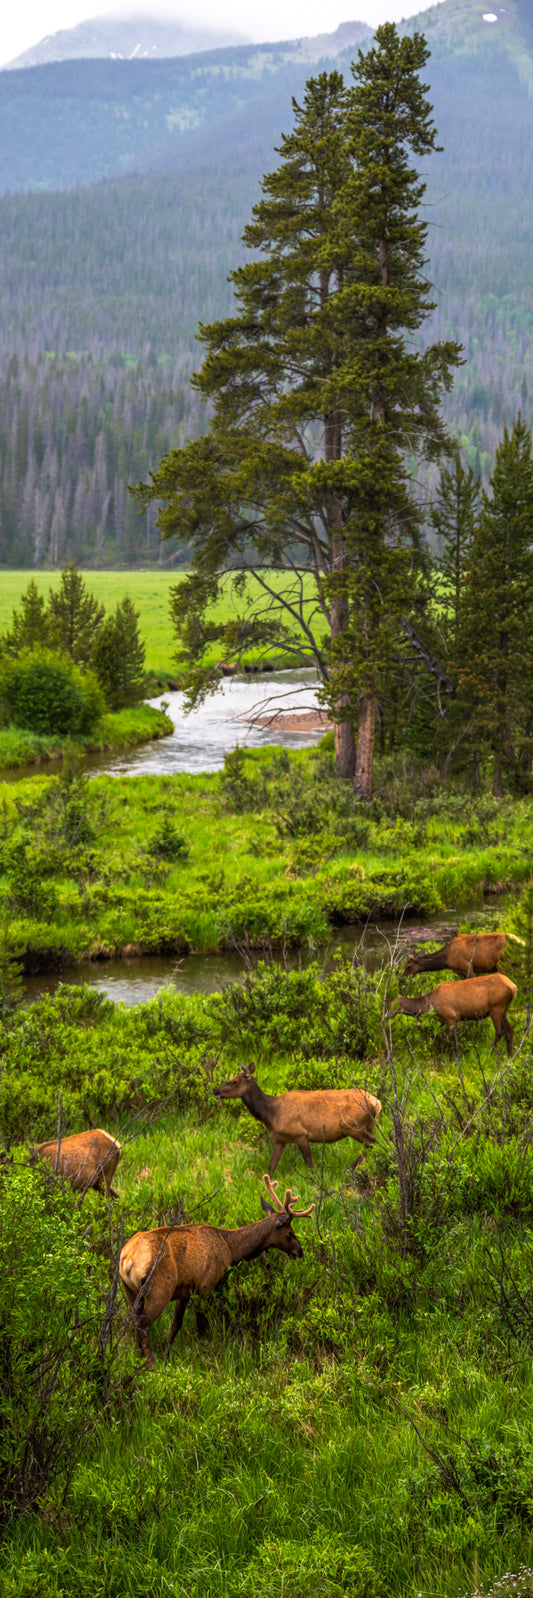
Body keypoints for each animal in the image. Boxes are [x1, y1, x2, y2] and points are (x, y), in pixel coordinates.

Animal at [118, 1182, 314, 1367]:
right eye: (290, 1232)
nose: (300, 1251)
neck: (230, 1250)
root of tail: (128, 1259)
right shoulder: (206, 1284)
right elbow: (200, 1325)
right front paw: (201, 1350)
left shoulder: (185, 1289)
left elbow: (176, 1325)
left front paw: (167, 1352)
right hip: (160, 1288)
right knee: (143, 1326)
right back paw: (151, 1364)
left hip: (130, 1290)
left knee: (136, 1323)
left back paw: (138, 1359)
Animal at [210, 1061, 381, 1176]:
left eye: (234, 1081)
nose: (215, 1090)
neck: (272, 1114)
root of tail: (377, 1103)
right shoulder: (279, 1140)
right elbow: (271, 1167)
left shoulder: (301, 1134)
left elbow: (310, 1165)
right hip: (368, 1125)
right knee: (373, 1144)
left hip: (353, 1125)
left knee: (373, 1143)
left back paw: (350, 1169)